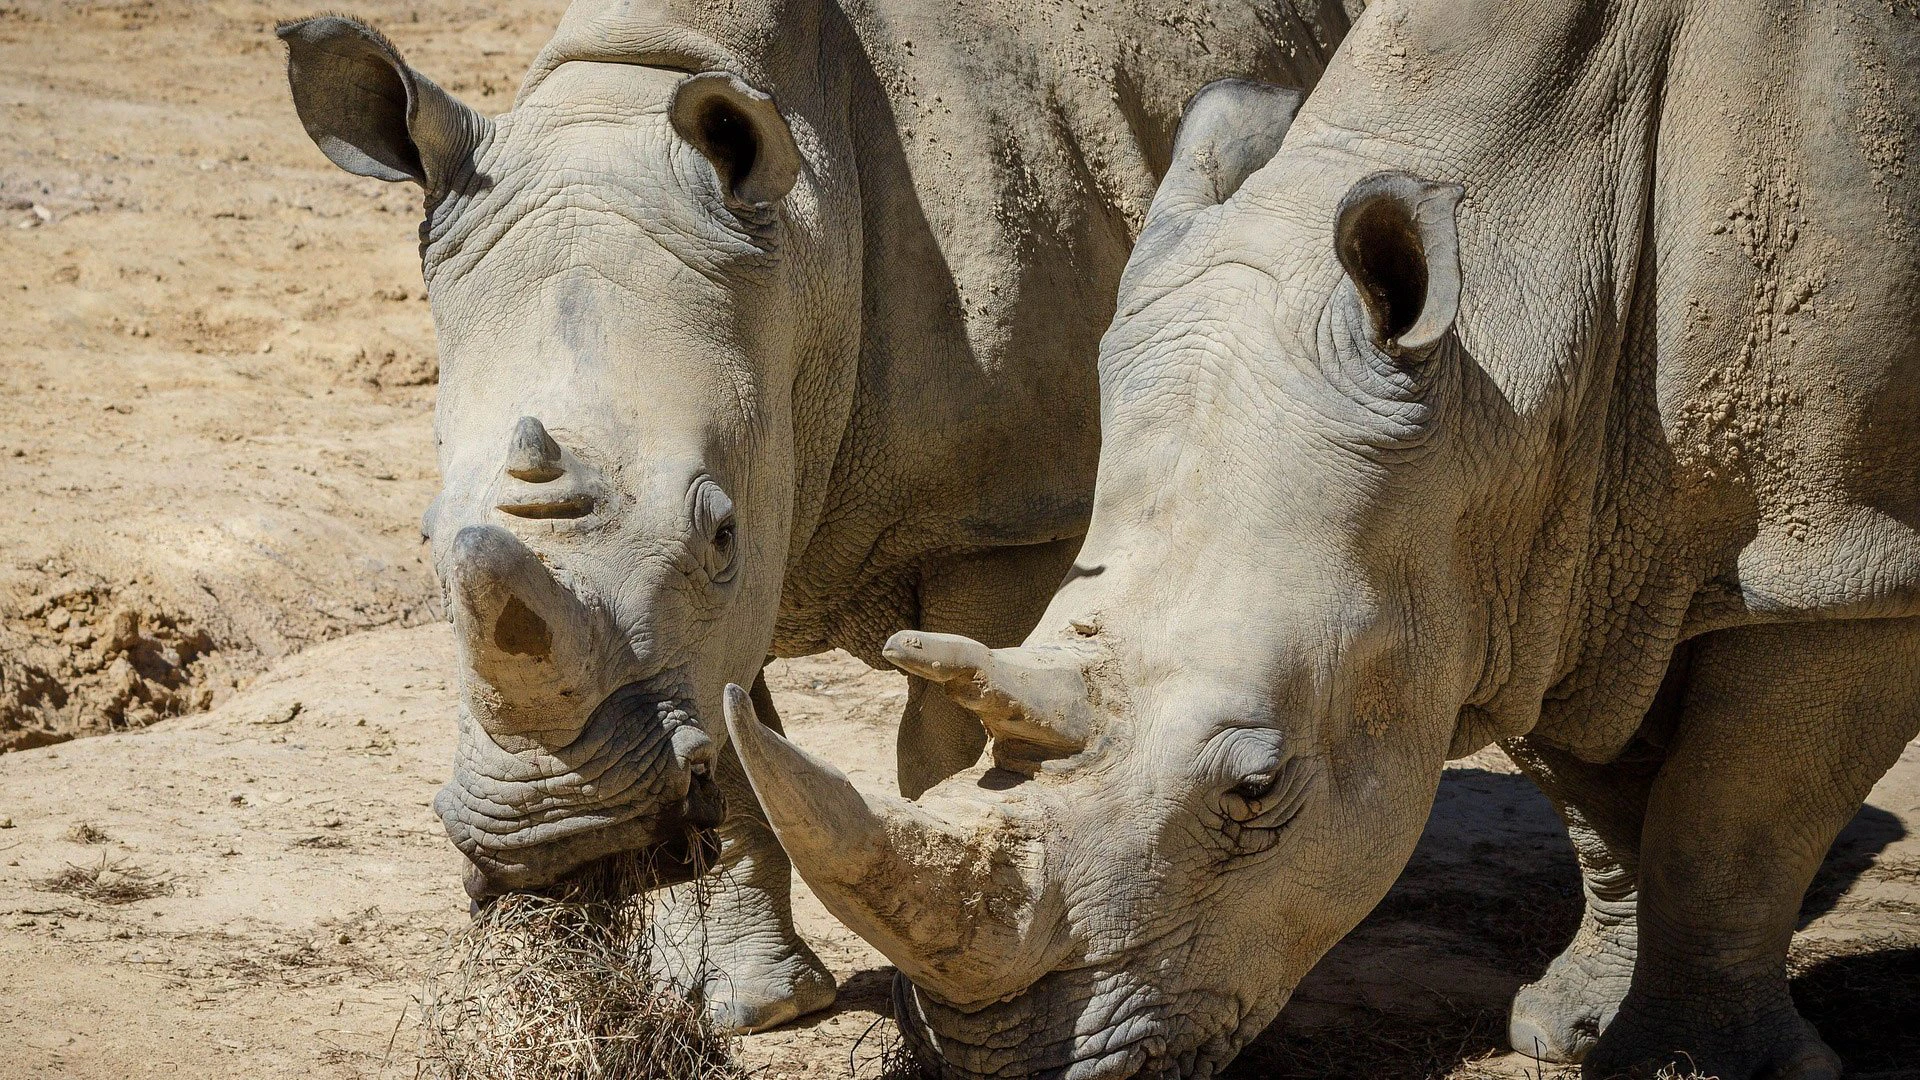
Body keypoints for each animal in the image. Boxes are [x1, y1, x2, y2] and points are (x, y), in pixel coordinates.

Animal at [277, 0, 1352, 1032]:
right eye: (426, 536)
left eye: (717, 534)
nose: (559, 841)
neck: (801, 250)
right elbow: (738, 737)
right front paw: (747, 1007)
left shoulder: (1010, 511)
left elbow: (966, 729)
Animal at [725, 0, 1920, 1074]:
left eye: (1256, 790)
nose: (990, 1060)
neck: (1517, 339)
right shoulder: (1539, 556)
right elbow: (1610, 808)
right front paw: (1571, 1032)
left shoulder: (1839, 561)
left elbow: (1726, 830)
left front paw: (1690, 1067)